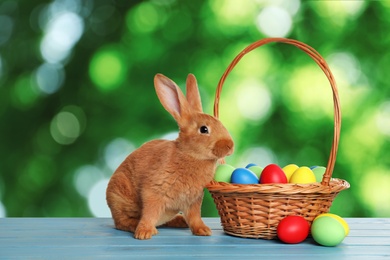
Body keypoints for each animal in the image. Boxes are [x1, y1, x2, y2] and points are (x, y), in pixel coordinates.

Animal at [106, 73, 235, 240]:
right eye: (204, 129)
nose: (230, 146)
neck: (190, 155)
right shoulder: (153, 192)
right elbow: (149, 213)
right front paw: (144, 233)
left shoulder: (193, 200)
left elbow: (195, 217)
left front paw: (203, 231)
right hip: (119, 198)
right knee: (121, 222)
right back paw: (137, 227)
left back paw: (180, 221)